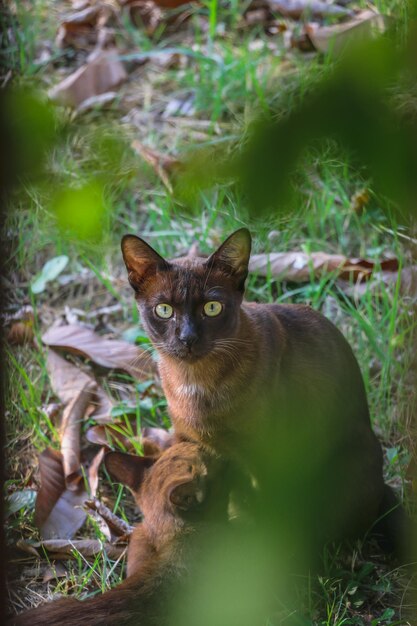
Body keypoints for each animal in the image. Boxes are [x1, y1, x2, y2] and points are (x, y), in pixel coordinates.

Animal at [121, 225, 406, 556]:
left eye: (212, 308)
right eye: (164, 310)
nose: (187, 338)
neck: (196, 385)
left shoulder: (265, 452)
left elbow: (266, 512)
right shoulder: (190, 441)